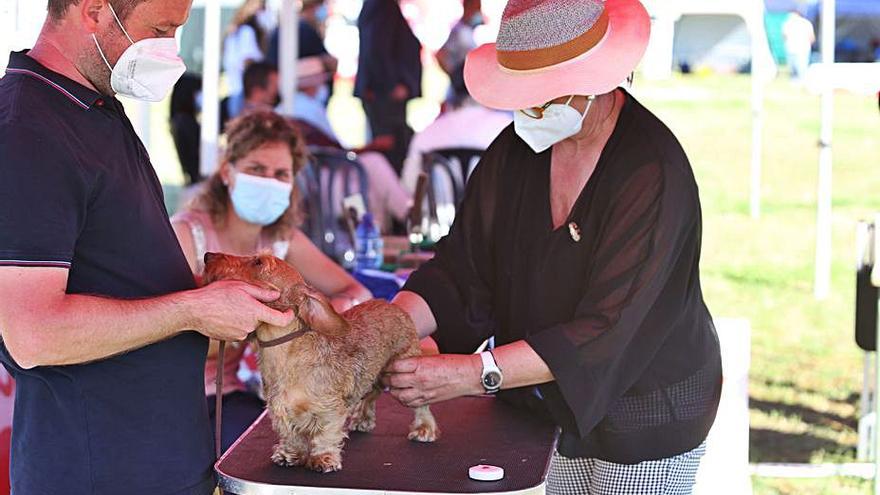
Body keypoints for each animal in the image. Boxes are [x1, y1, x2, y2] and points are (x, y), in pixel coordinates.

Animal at [201, 254, 438, 474]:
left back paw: (424, 428)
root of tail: (391, 305)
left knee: (420, 404)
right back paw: (363, 419)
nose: (208, 256)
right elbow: (290, 434)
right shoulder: (279, 408)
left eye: (259, 262)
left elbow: (325, 434)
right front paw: (290, 454)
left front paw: (323, 458)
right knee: (370, 395)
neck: (285, 355)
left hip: (401, 371)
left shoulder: (329, 409)